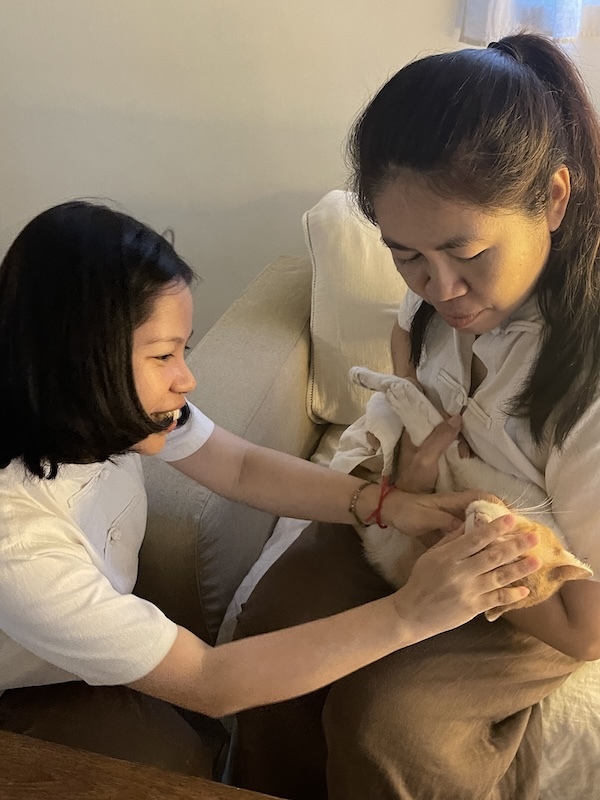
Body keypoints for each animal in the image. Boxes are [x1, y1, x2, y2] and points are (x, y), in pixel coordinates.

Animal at [330, 367, 592, 621]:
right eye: (518, 537)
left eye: (481, 557)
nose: (479, 519)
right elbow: (426, 413)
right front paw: (369, 377)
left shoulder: (451, 467)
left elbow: (424, 422)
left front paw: (391, 389)